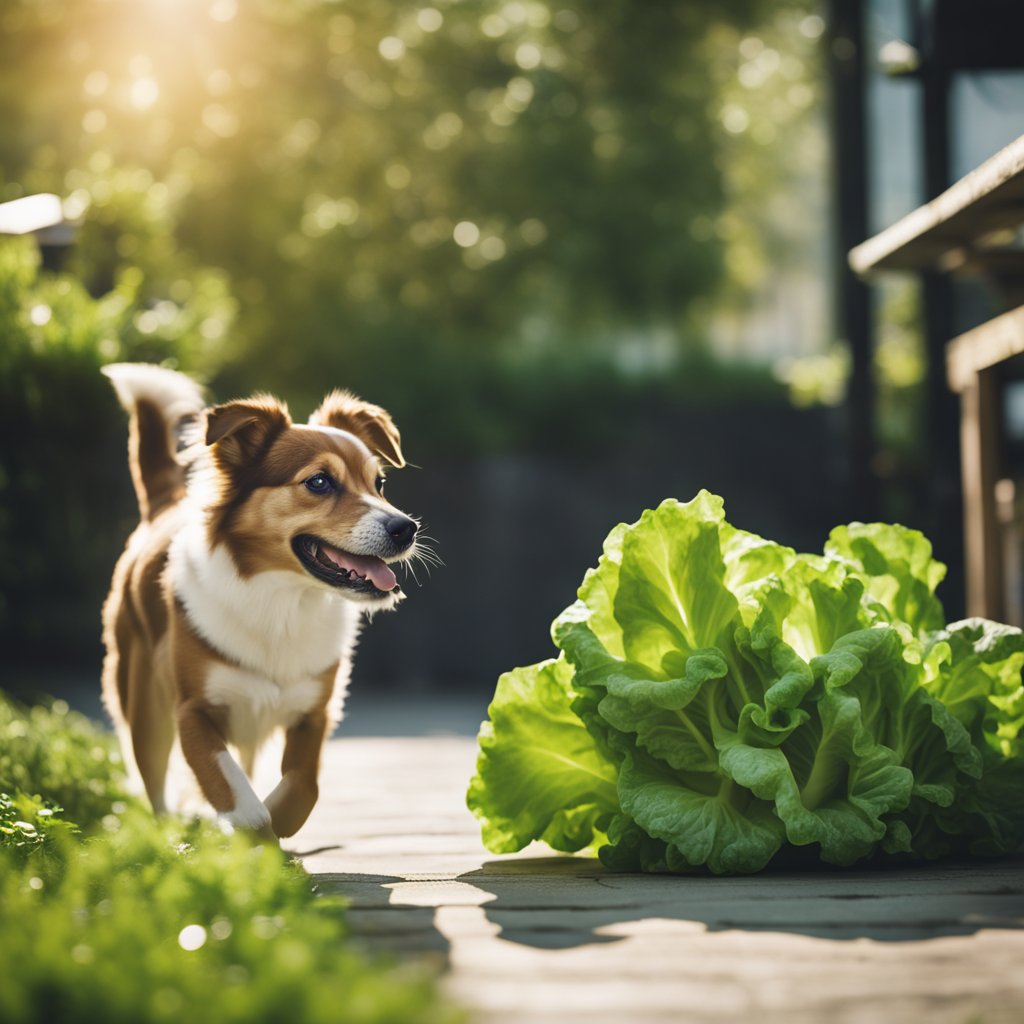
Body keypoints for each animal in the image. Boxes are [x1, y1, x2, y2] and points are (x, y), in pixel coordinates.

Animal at [100, 366, 419, 839]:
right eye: (319, 482)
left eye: (378, 484)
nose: (406, 528)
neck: (282, 599)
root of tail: (164, 506)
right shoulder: (191, 712)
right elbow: (227, 782)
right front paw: (250, 824)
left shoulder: (315, 713)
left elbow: (304, 784)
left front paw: (276, 823)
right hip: (144, 709)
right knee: (155, 786)